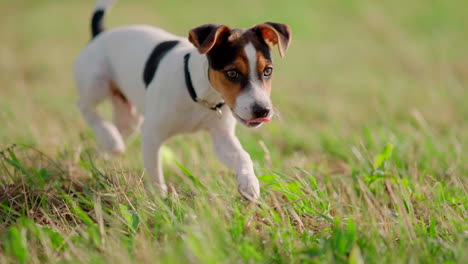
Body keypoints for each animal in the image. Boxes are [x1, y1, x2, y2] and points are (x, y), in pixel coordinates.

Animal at [73, 0, 290, 201]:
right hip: (97, 82)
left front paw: (249, 183)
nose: (262, 111)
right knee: (84, 107)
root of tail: (101, 35)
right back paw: (109, 136)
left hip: (129, 119)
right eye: (232, 73)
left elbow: (243, 156)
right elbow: (155, 175)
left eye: (268, 71)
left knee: (115, 132)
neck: (201, 96)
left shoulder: (222, 138)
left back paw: (106, 147)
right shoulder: (151, 135)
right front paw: (159, 202)